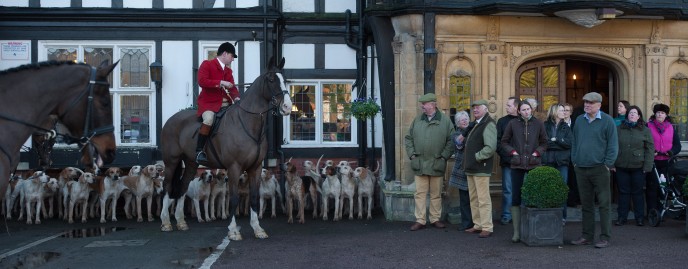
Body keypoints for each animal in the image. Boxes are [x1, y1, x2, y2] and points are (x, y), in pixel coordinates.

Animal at [160, 56, 292, 239]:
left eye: (284, 80)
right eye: (271, 79)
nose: (287, 107)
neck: (248, 123)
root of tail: (171, 119)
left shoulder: (256, 168)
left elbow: (254, 197)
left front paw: (257, 229)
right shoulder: (234, 167)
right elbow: (234, 199)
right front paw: (233, 231)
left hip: (192, 163)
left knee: (183, 187)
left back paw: (180, 222)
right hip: (171, 161)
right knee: (167, 187)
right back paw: (166, 222)